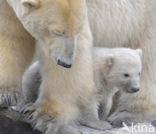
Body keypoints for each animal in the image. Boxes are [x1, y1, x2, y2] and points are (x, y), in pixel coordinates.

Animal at [0, 0, 155, 128]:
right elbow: (11, 34)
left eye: (74, 30)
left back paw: (129, 114)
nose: (66, 63)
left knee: (148, 56)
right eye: (57, 32)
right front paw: (6, 95)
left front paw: (44, 116)